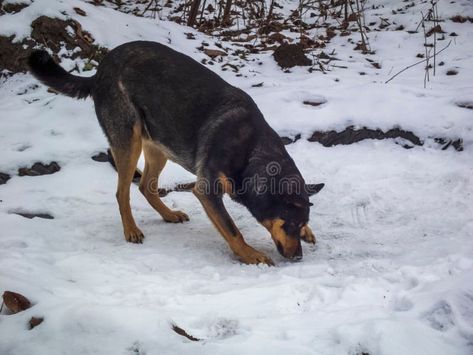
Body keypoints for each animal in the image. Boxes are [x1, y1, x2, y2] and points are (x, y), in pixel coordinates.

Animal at [27, 40, 322, 266]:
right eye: (289, 224)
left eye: (299, 224)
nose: (298, 258)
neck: (253, 152)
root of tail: (99, 71)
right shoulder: (207, 191)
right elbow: (232, 230)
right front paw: (251, 255)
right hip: (129, 143)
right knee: (123, 192)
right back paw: (131, 230)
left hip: (160, 145)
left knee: (145, 186)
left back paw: (168, 215)